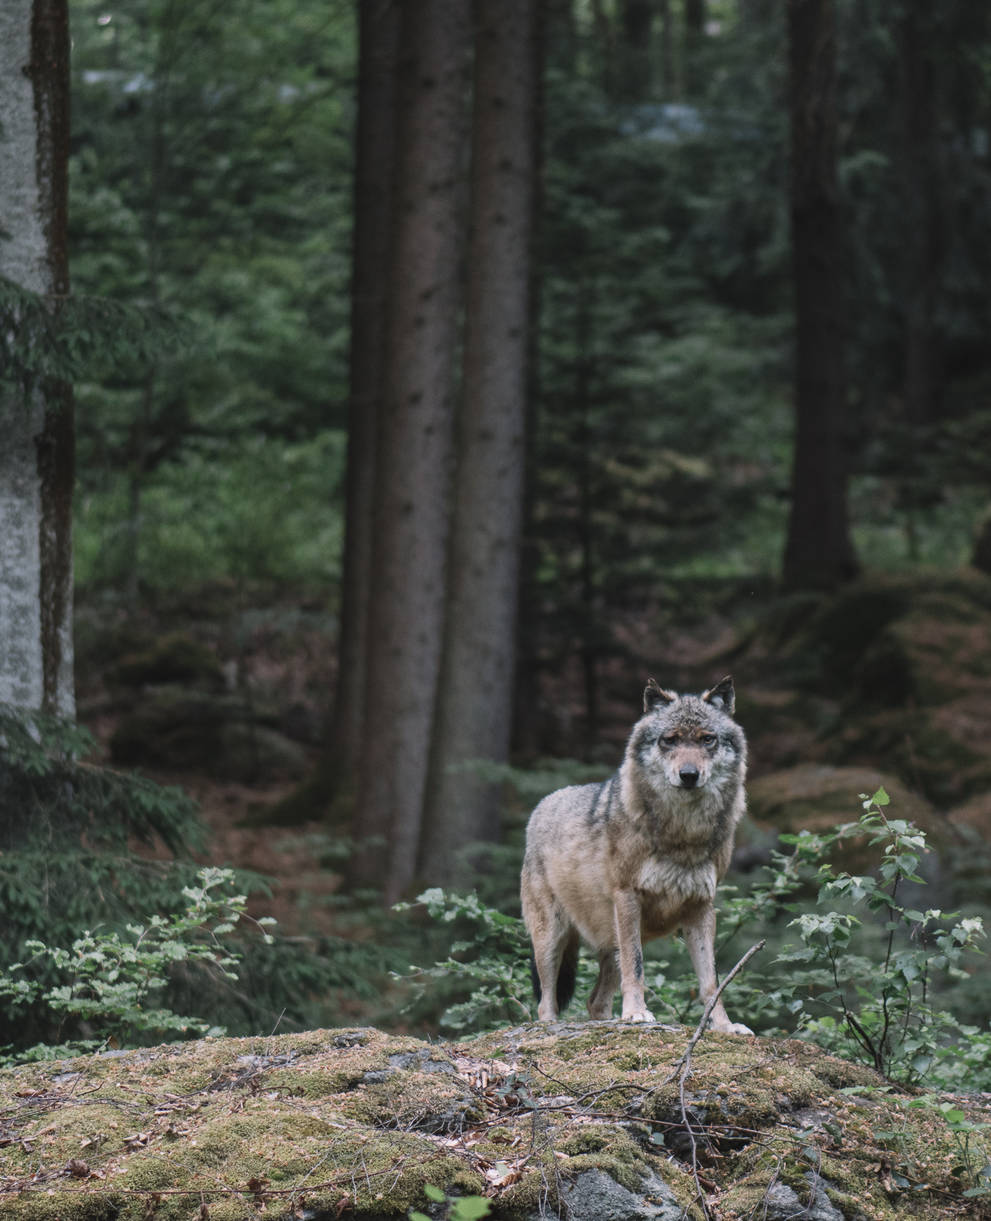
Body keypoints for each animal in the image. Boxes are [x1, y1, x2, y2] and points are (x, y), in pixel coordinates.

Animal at [522, 678, 746, 1030]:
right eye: (670, 740)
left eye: (707, 739)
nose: (689, 775)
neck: (683, 834)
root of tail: (542, 804)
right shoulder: (627, 895)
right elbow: (637, 965)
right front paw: (638, 1013)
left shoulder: (701, 906)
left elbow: (711, 980)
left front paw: (724, 1026)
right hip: (551, 937)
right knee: (546, 1000)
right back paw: (551, 1025)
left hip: (608, 938)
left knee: (595, 1001)